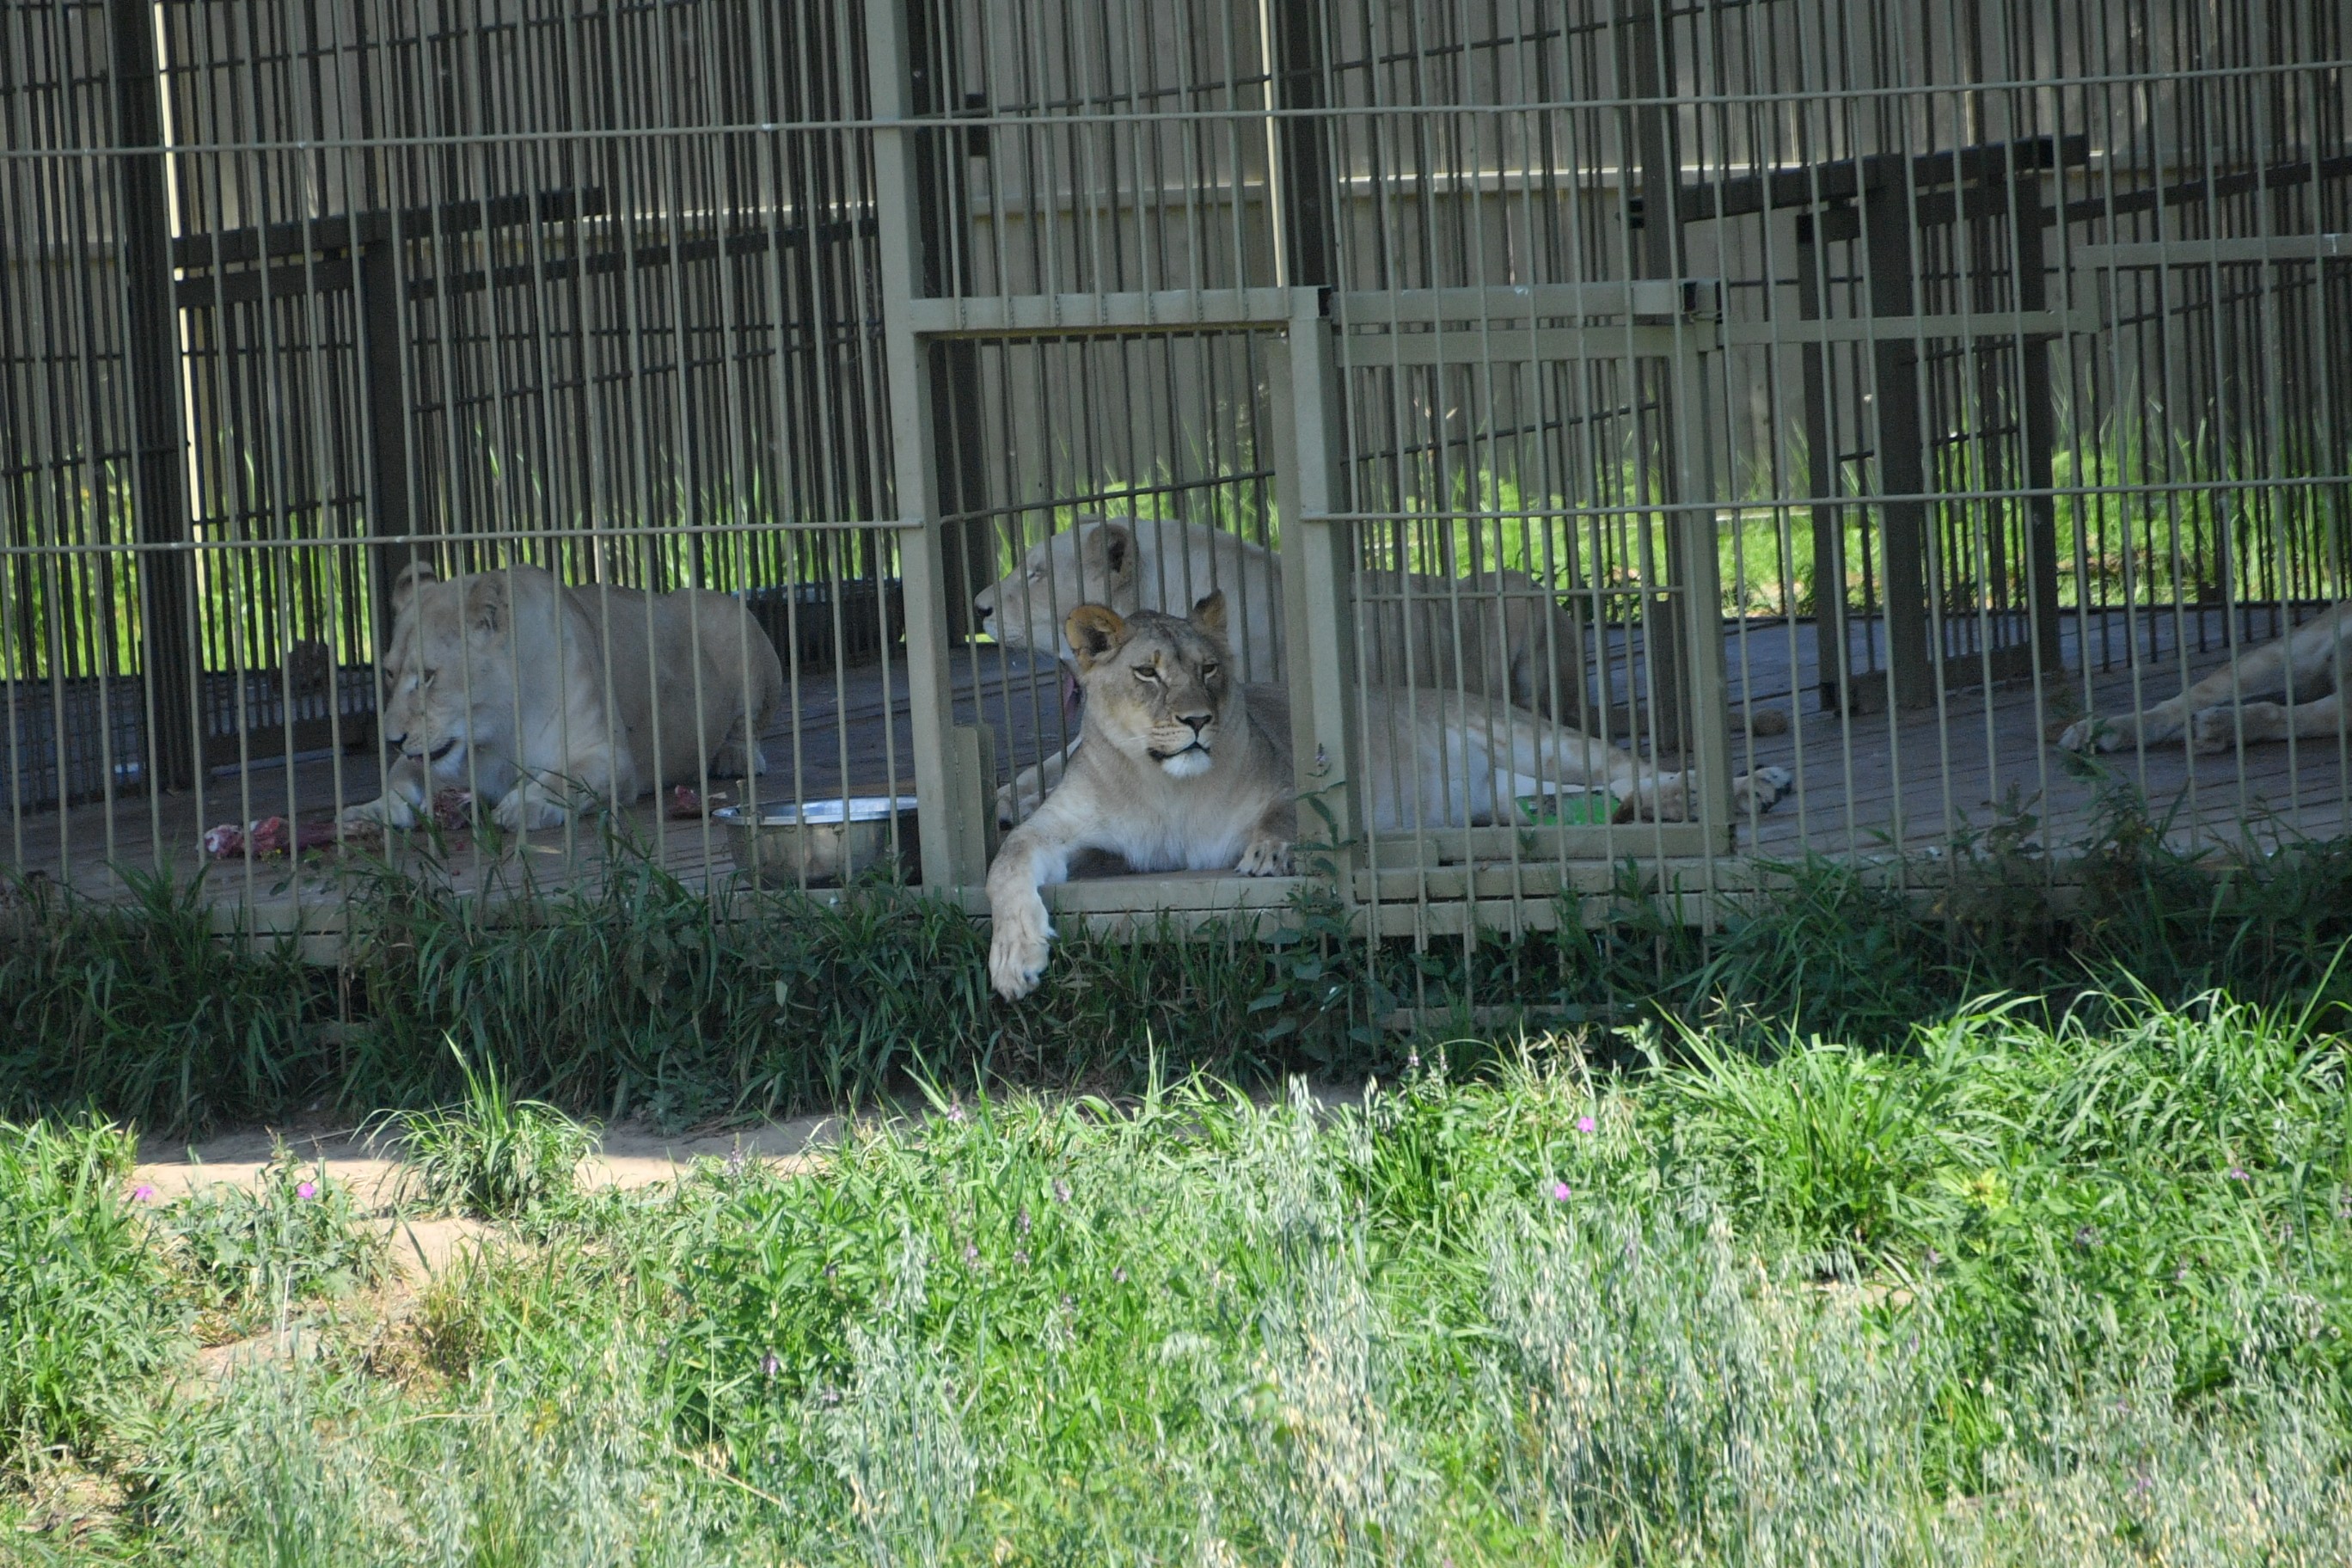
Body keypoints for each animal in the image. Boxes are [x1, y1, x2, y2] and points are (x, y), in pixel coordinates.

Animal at [340, 561, 785, 832]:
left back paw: (734, 758)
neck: (494, 730)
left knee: (749, 724)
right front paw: (368, 813)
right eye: (389, 672)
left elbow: (563, 777)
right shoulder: (433, 760)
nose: (392, 740)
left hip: (728, 615)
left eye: (429, 677)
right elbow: (399, 781)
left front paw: (522, 806)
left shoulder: (609, 756)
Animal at [983, 594, 1787, 1001]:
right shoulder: (1063, 829)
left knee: (1631, 768)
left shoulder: (1298, 776)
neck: (1162, 785)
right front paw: (1015, 961)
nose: (1197, 721)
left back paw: (1741, 790)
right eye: (1148, 673)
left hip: (1530, 738)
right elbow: (1005, 860)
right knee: (1589, 800)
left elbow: (1289, 812)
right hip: (1513, 796)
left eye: (1210, 670)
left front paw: (1270, 853)